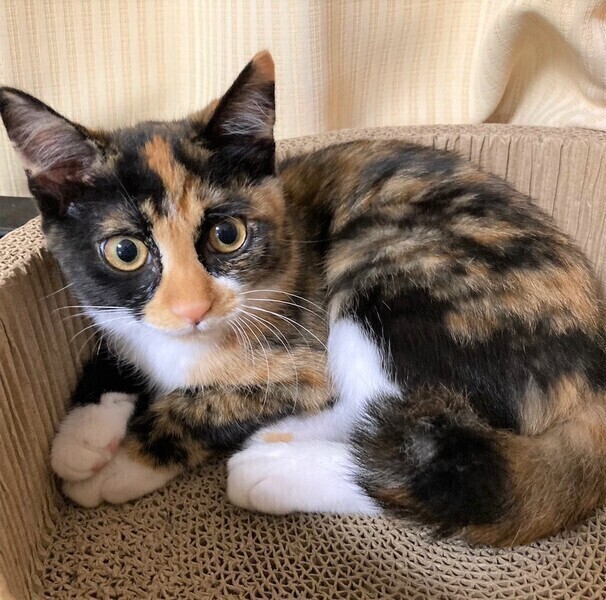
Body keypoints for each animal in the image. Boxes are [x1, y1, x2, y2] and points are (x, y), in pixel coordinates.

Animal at [1, 51, 605, 546]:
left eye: (228, 235)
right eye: (124, 251)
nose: (194, 310)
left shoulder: (303, 354)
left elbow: (214, 401)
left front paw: (122, 463)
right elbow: (114, 342)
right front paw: (82, 435)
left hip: (390, 264)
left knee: (426, 453)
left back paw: (273, 465)